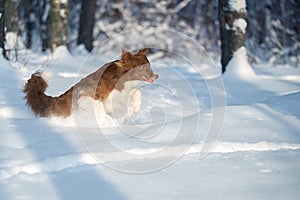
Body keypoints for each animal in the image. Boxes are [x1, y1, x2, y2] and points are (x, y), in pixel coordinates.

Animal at [22, 48, 159, 117]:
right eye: (143, 67)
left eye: (149, 65)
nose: (156, 76)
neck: (122, 80)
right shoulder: (88, 94)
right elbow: (98, 105)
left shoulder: (122, 95)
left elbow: (137, 91)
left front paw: (136, 107)